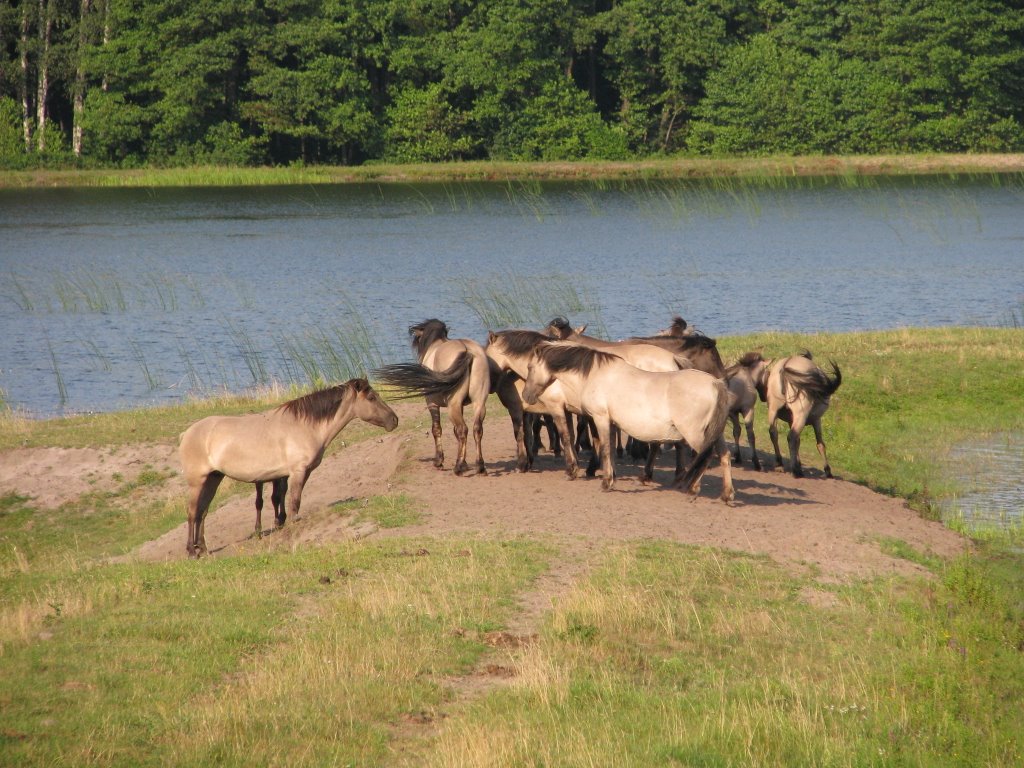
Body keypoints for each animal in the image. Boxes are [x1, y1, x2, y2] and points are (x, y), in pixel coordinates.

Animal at [180, 378, 395, 561]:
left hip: (214, 478)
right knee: (192, 512)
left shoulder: (297, 473)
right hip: (197, 482)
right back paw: (191, 551)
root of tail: (187, 433)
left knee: (202, 512)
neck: (304, 426)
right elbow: (294, 502)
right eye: (371, 398)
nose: (394, 420)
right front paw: (291, 531)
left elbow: (286, 501)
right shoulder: (297, 472)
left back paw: (203, 549)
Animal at [524, 344, 733, 505]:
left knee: (704, 457)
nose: (527, 396)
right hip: (715, 434)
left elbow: (605, 448)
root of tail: (715, 383)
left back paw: (693, 490)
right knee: (724, 456)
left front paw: (605, 483)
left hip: (695, 434)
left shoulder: (600, 418)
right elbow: (610, 450)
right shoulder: (611, 423)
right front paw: (611, 479)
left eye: (530, 367)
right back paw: (726, 495)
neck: (595, 375)